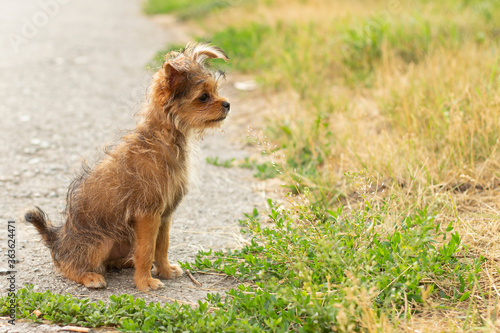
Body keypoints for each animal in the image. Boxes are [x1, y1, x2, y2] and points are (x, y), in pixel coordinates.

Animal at [24, 42, 230, 290]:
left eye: (215, 91)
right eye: (203, 97)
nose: (228, 104)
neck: (163, 138)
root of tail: (57, 238)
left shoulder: (164, 216)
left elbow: (161, 247)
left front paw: (164, 270)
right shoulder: (147, 215)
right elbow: (146, 250)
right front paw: (145, 282)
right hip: (101, 241)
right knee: (68, 267)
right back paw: (90, 276)